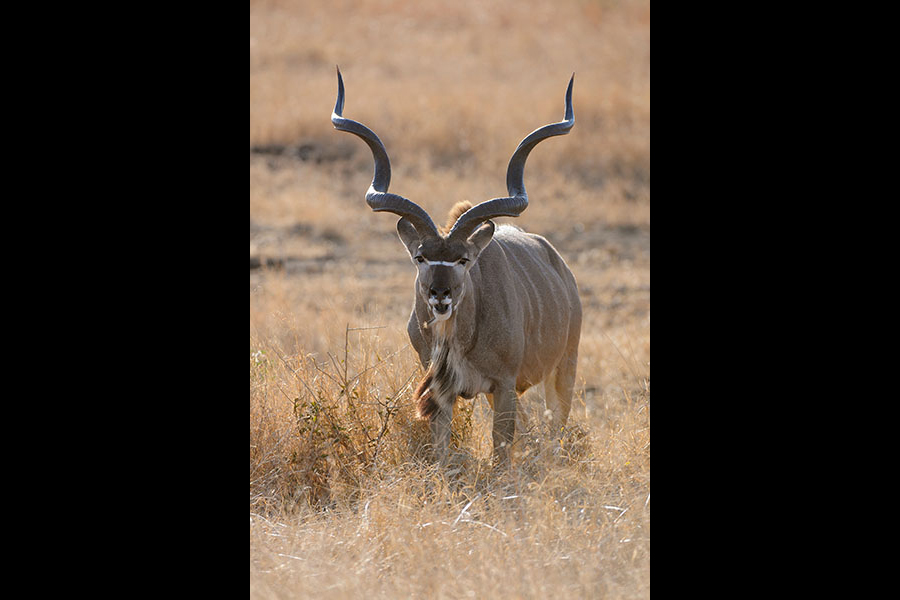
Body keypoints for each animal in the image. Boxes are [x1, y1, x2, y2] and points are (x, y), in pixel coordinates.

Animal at [332, 69, 584, 464]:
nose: (440, 295)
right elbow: (442, 453)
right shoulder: (442, 391)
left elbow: (501, 455)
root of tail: (560, 267)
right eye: (420, 256)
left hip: (563, 369)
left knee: (556, 426)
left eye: (463, 259)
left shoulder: (505, 385)